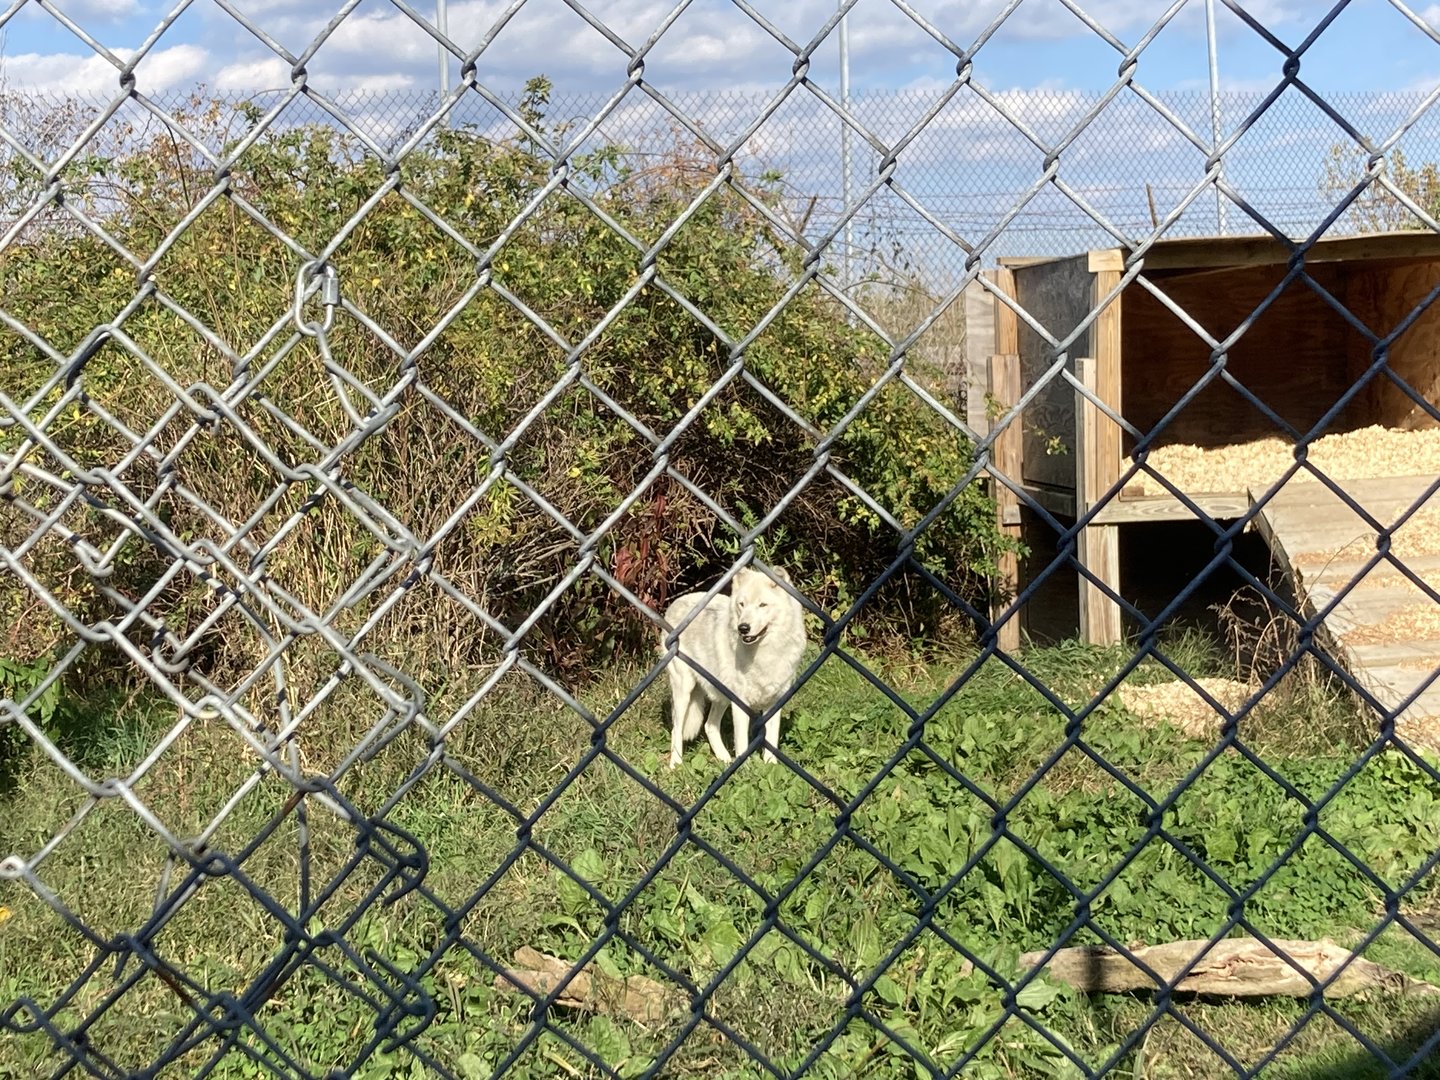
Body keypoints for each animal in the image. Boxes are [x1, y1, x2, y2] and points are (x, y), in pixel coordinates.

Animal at [661, 566, 806, 768]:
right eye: (742, 604)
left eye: (762, 605)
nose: (743, 627)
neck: (764, 653)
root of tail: (675, 602)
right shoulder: (740, 703)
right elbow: (742, 743)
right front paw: (744, 769)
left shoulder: (775, 701)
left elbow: (771, 740)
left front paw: (770, 766)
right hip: (685, 689)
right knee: (677, 729)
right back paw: (676, 764)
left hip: (720, 695)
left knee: (709, 725)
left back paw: (724, 759)